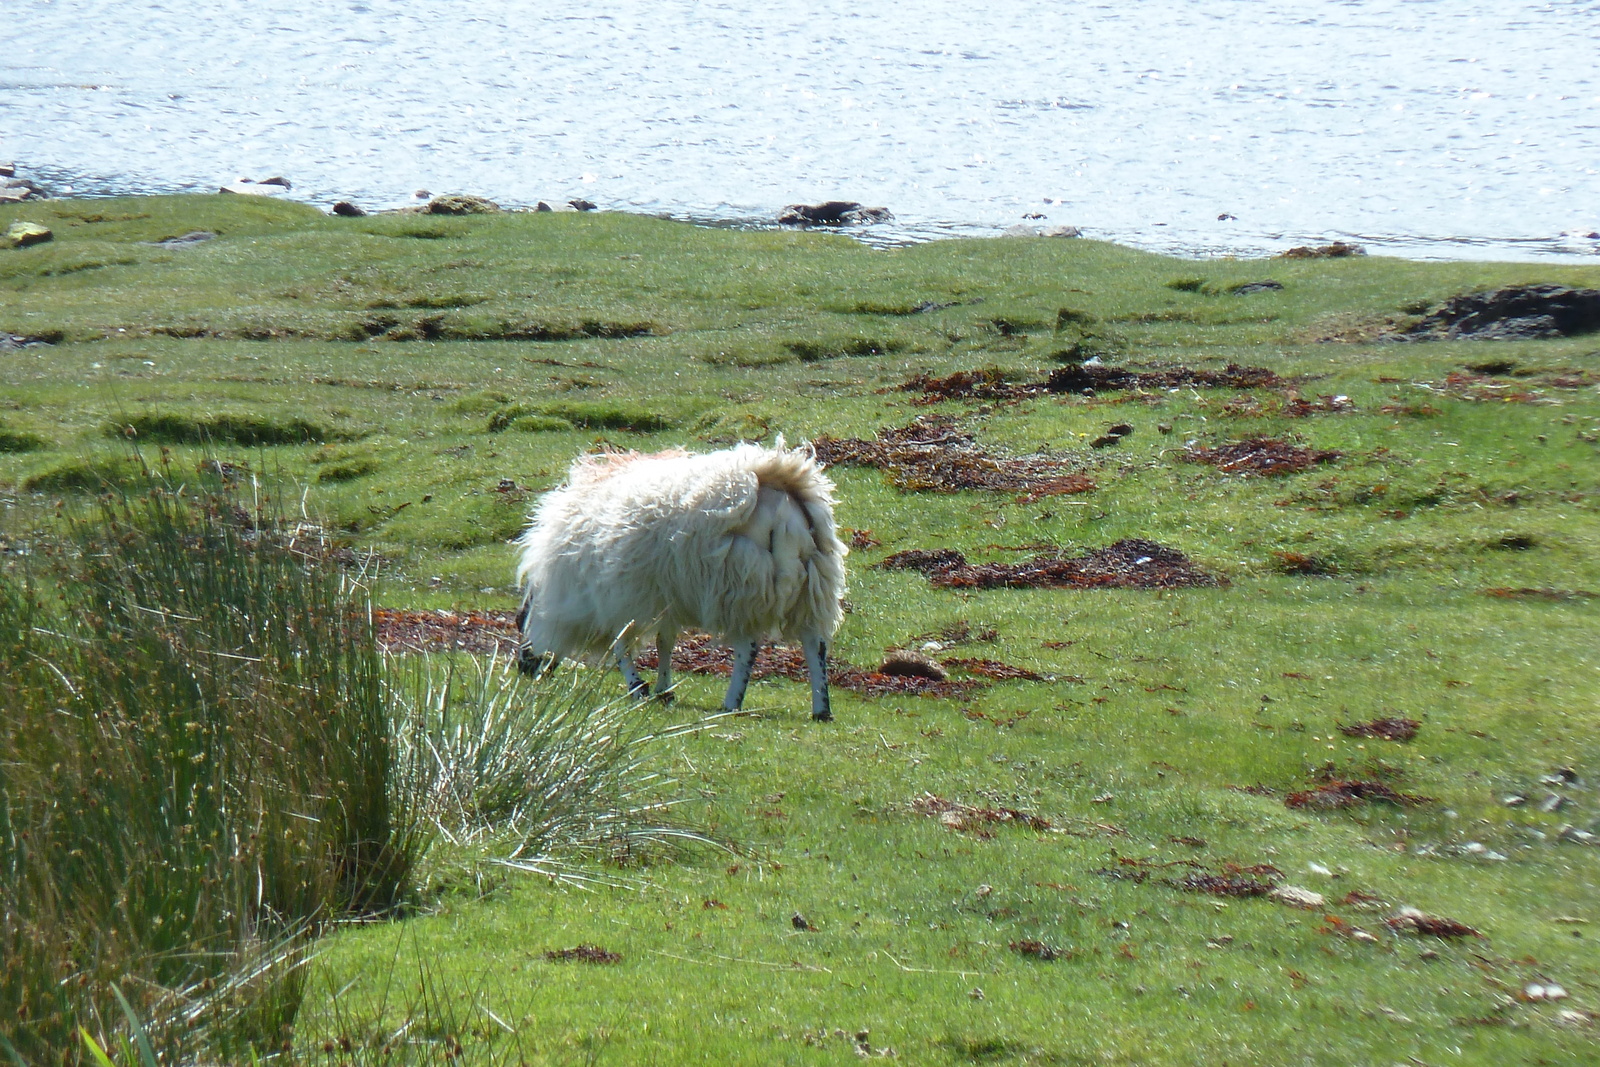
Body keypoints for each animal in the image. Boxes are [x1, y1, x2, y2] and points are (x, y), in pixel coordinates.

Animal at [518, 438, 857, 723]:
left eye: (521, 621)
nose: (524, 668)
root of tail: (777, 496)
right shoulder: (664, 594)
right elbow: (665, 642)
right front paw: (663, 689)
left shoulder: (619, 597)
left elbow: (621, 646)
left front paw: (638, 687)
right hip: (815, 584)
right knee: (816, 644)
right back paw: (821, 709)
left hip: (737, 583)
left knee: (748, 647)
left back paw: (731, 703)